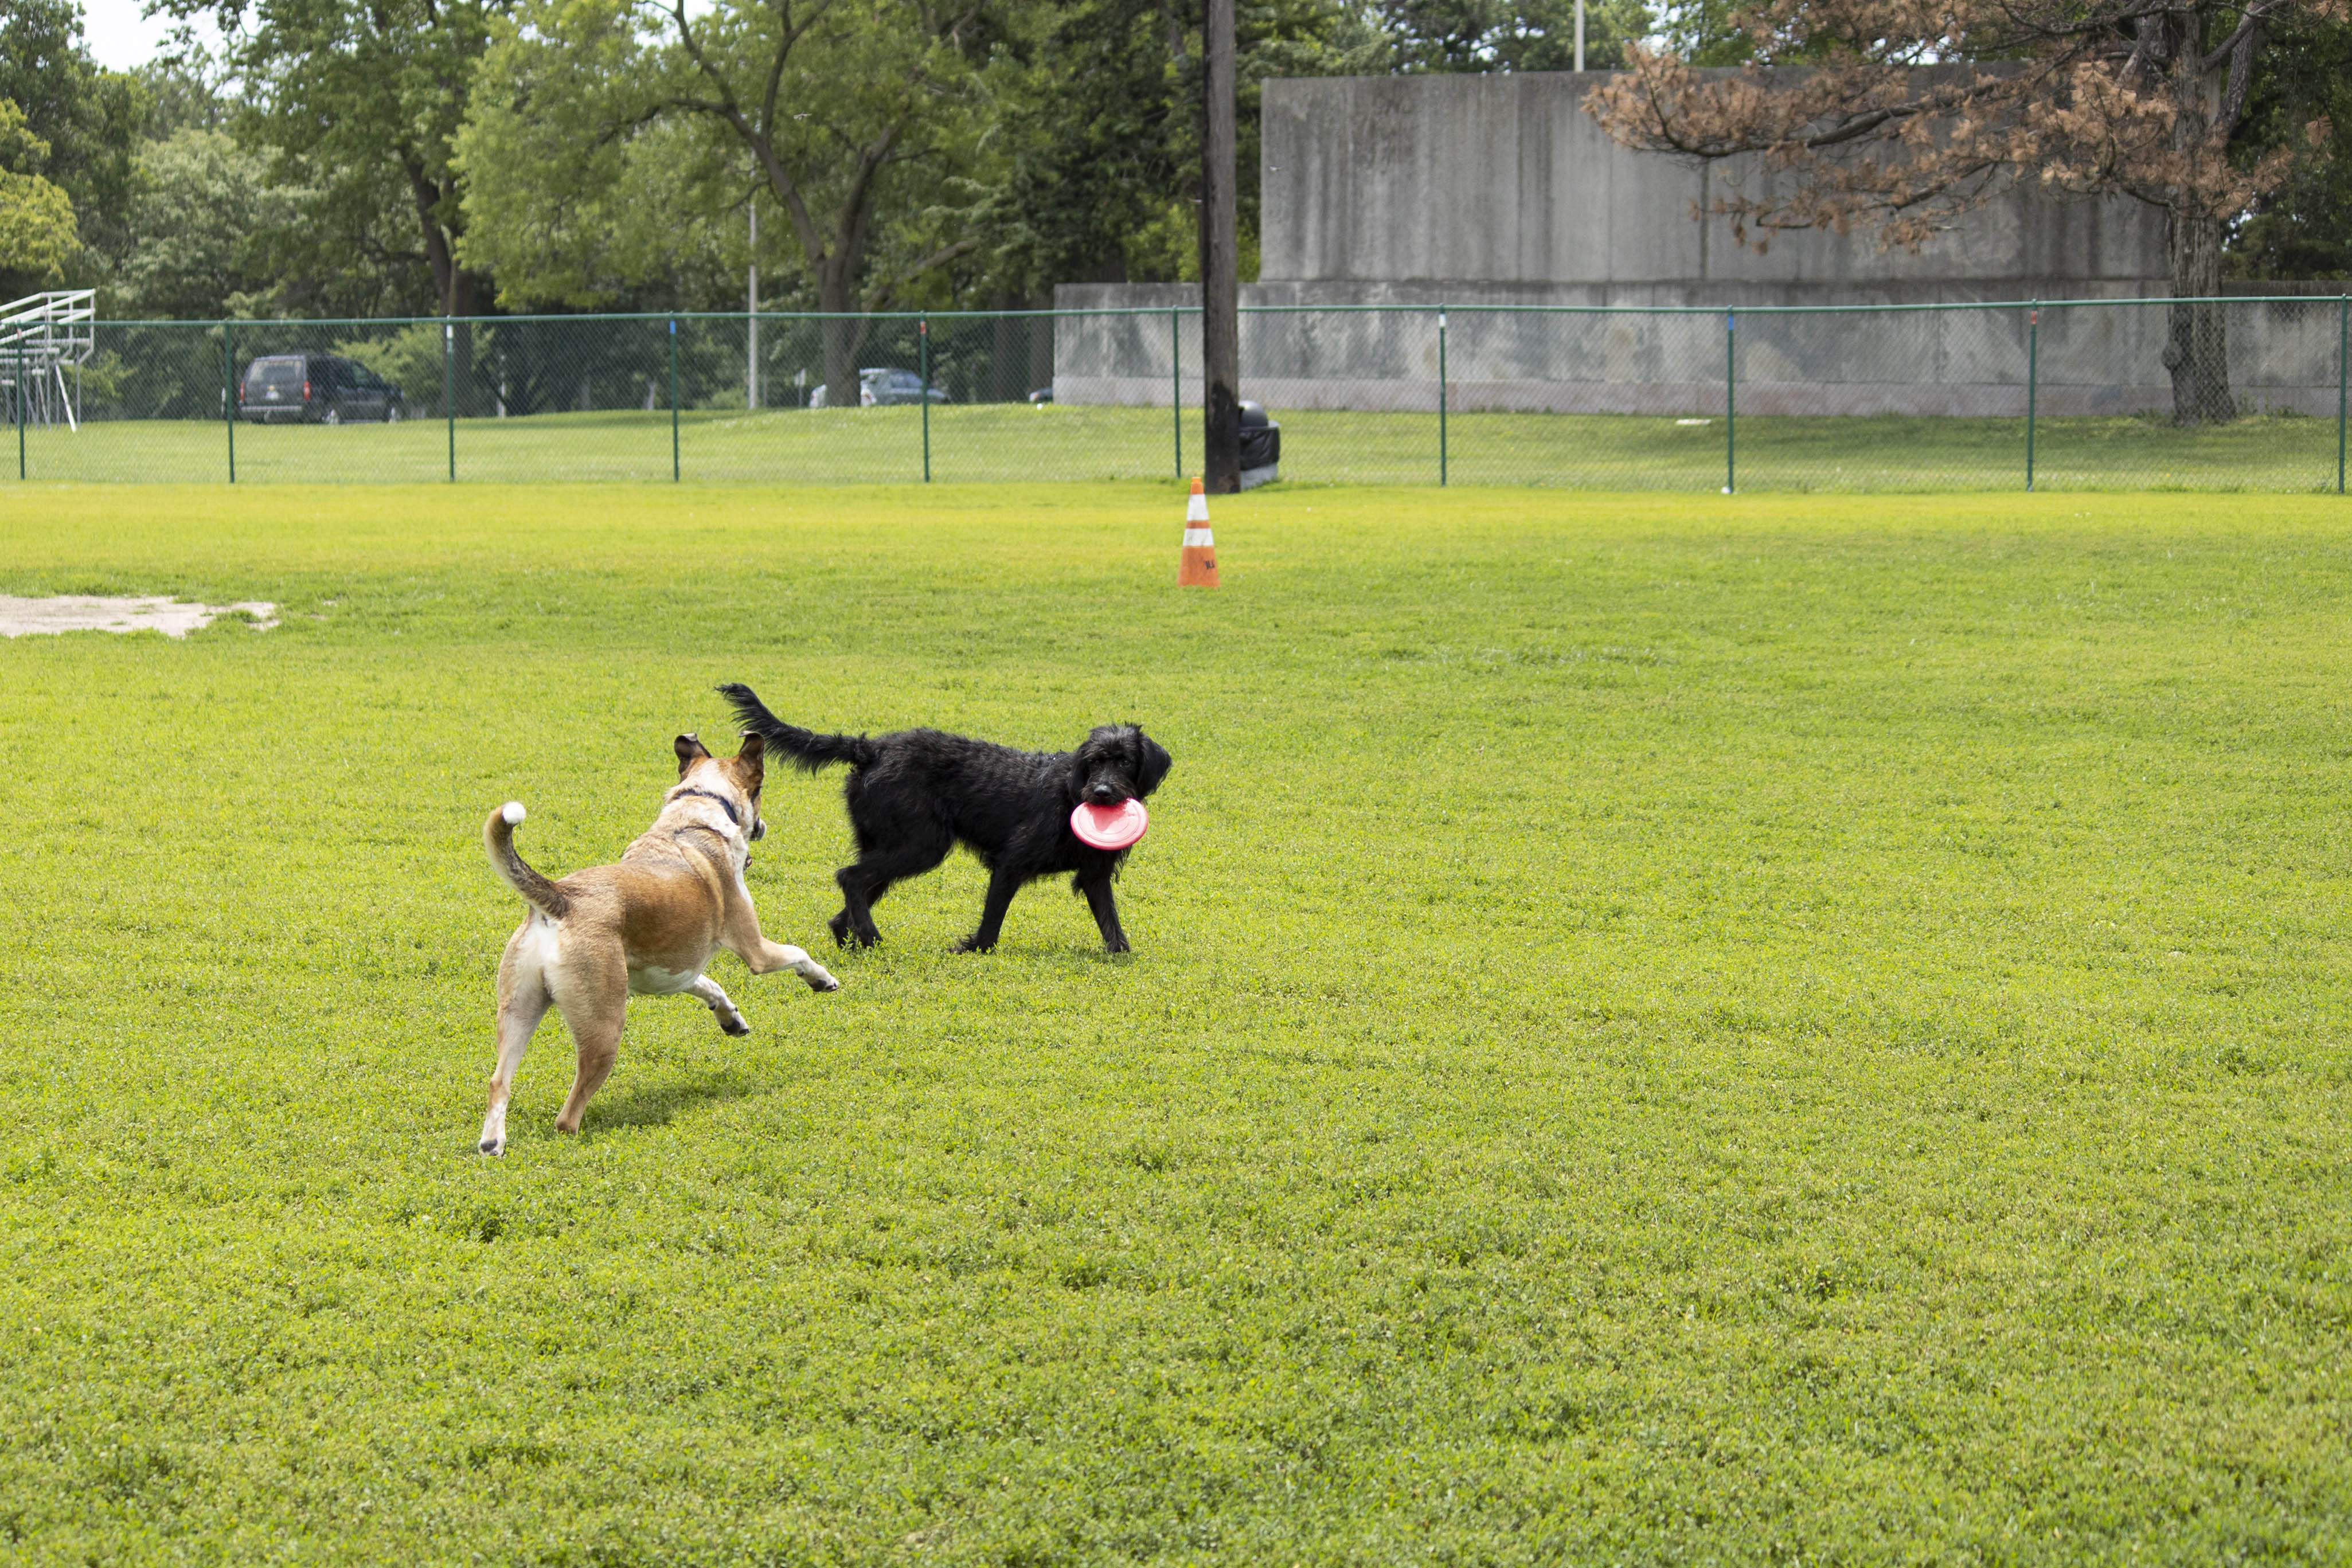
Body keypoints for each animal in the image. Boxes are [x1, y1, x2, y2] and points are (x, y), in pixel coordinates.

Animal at [475, 733, 837, 1152]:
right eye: (760, 790)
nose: (763, 826)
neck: (696, 814)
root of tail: (561, 898)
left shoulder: (674, 972)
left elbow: (711, 986)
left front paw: (730, 1018)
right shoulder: (756, 949)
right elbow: (798, 954)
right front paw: (822, 979)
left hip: (519, 1008)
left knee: (499, 1082)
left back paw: (492, 1144)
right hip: (604, 1027)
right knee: (568, 1115)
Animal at [710, 686, 1162, 959]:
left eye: (1125, 762)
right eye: (1094, 762)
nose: (1102, 794)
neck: (1070, 791)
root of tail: (872, 749)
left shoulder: (1096, 875)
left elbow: (1111, 923)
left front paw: (1121, 953)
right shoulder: (1010, 863)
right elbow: (992, 921)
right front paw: (975, 949)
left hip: (889, 845)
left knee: (849, 899)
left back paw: (853, 940)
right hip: (922, 845)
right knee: (849, 877)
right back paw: (871, 937)